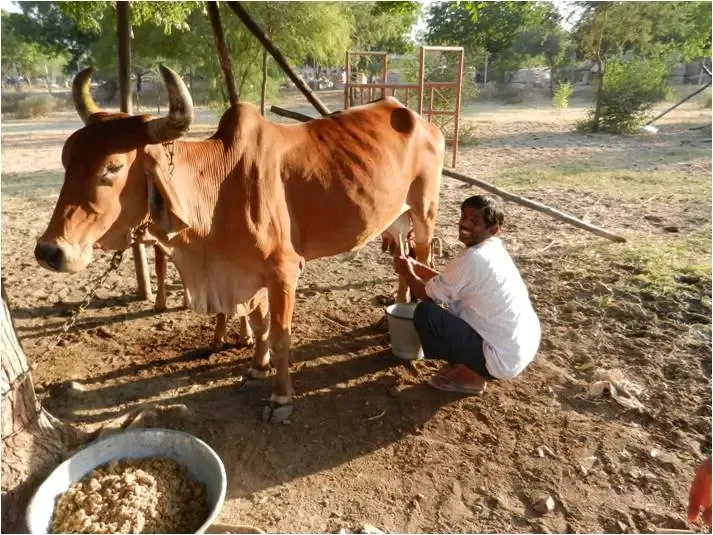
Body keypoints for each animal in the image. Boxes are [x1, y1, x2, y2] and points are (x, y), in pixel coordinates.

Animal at [35, 64, 444, 423]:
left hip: (424, 210)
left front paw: (281, 399)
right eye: (66, 159)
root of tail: (419, 118)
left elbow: (279, 335)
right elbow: (259, 326)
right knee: (401, 262)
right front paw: (256, 368)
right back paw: (387, 317)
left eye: (114, 167)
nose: (50, 251)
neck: (219, 189)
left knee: (423, 260)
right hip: (394, 219)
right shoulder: (248, 273)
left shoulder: (283, 271)